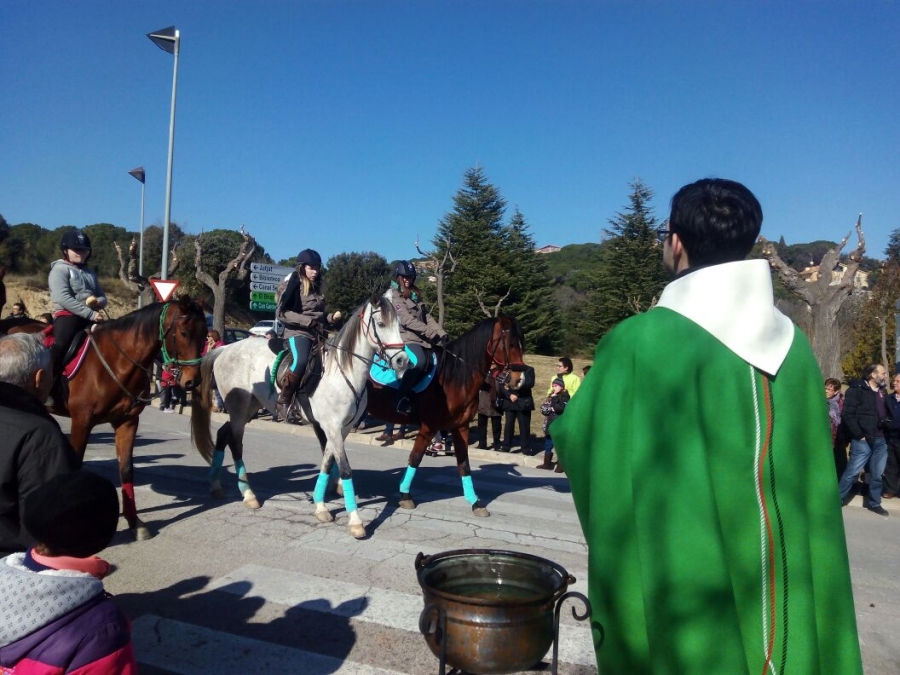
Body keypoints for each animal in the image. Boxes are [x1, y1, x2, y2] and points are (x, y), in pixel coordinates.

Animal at [2, 298, 206, 540]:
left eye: (205, 335)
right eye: (184, 332)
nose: (192, 381)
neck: (116, 364)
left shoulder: (127, 422)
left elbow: (126, 469)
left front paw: (135, 522)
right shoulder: (82, 421)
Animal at [195, 296, 410, 540]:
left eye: (398, 324)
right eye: (381, 324)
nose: (403, 360)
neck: (343, 371)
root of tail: (225, 349)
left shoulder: (340, 429)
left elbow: (327, 462)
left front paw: (320, 506)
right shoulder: (332, 428)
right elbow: (344, 468)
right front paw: (355, 521)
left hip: (249, 407)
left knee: (224, 434)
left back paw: (216, 485)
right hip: (239, 410)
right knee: (235, 444)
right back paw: (249, 495)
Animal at [364, 316, 524, 516]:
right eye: (510, 344)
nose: (519, 380)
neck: (454, 377)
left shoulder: (460, 427)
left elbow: (464, 464)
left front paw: (475, 502)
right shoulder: (429, 426)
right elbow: (415, 458)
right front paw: (405, 495)